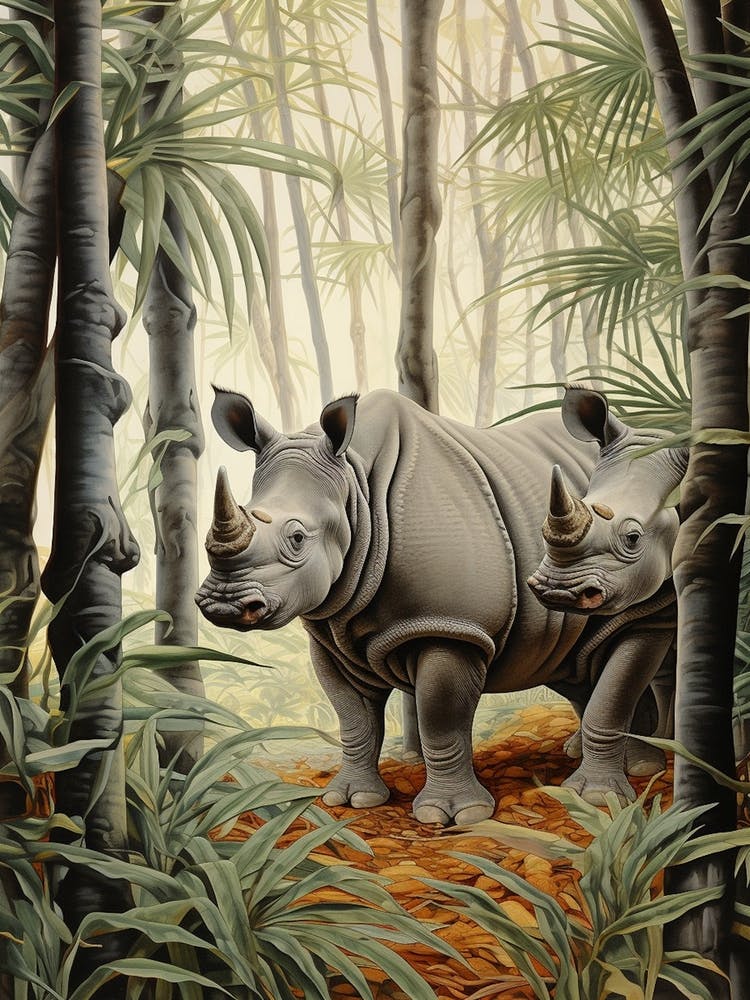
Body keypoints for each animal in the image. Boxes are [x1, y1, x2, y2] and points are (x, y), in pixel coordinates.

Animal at [196, 385, 684, 822]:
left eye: (297, 538)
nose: (224, 605)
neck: (355, 491)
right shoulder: (331, 631)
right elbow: (354, 721)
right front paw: (351, 800)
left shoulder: (449, 625)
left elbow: (440, 718)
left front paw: (452, 815)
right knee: (572, 652)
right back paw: (592, 754)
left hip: (646, 588)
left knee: (635, 640)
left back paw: (623, 779)